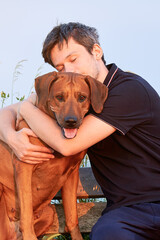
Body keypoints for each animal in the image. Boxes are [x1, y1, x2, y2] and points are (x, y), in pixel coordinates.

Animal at [0, 71, 108, 240]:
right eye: (59, 97)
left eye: (82, 97)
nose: (71, 121)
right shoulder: (24, 166)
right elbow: (26, 215)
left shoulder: (72, 173)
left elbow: (72, 218)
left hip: (49, 212)